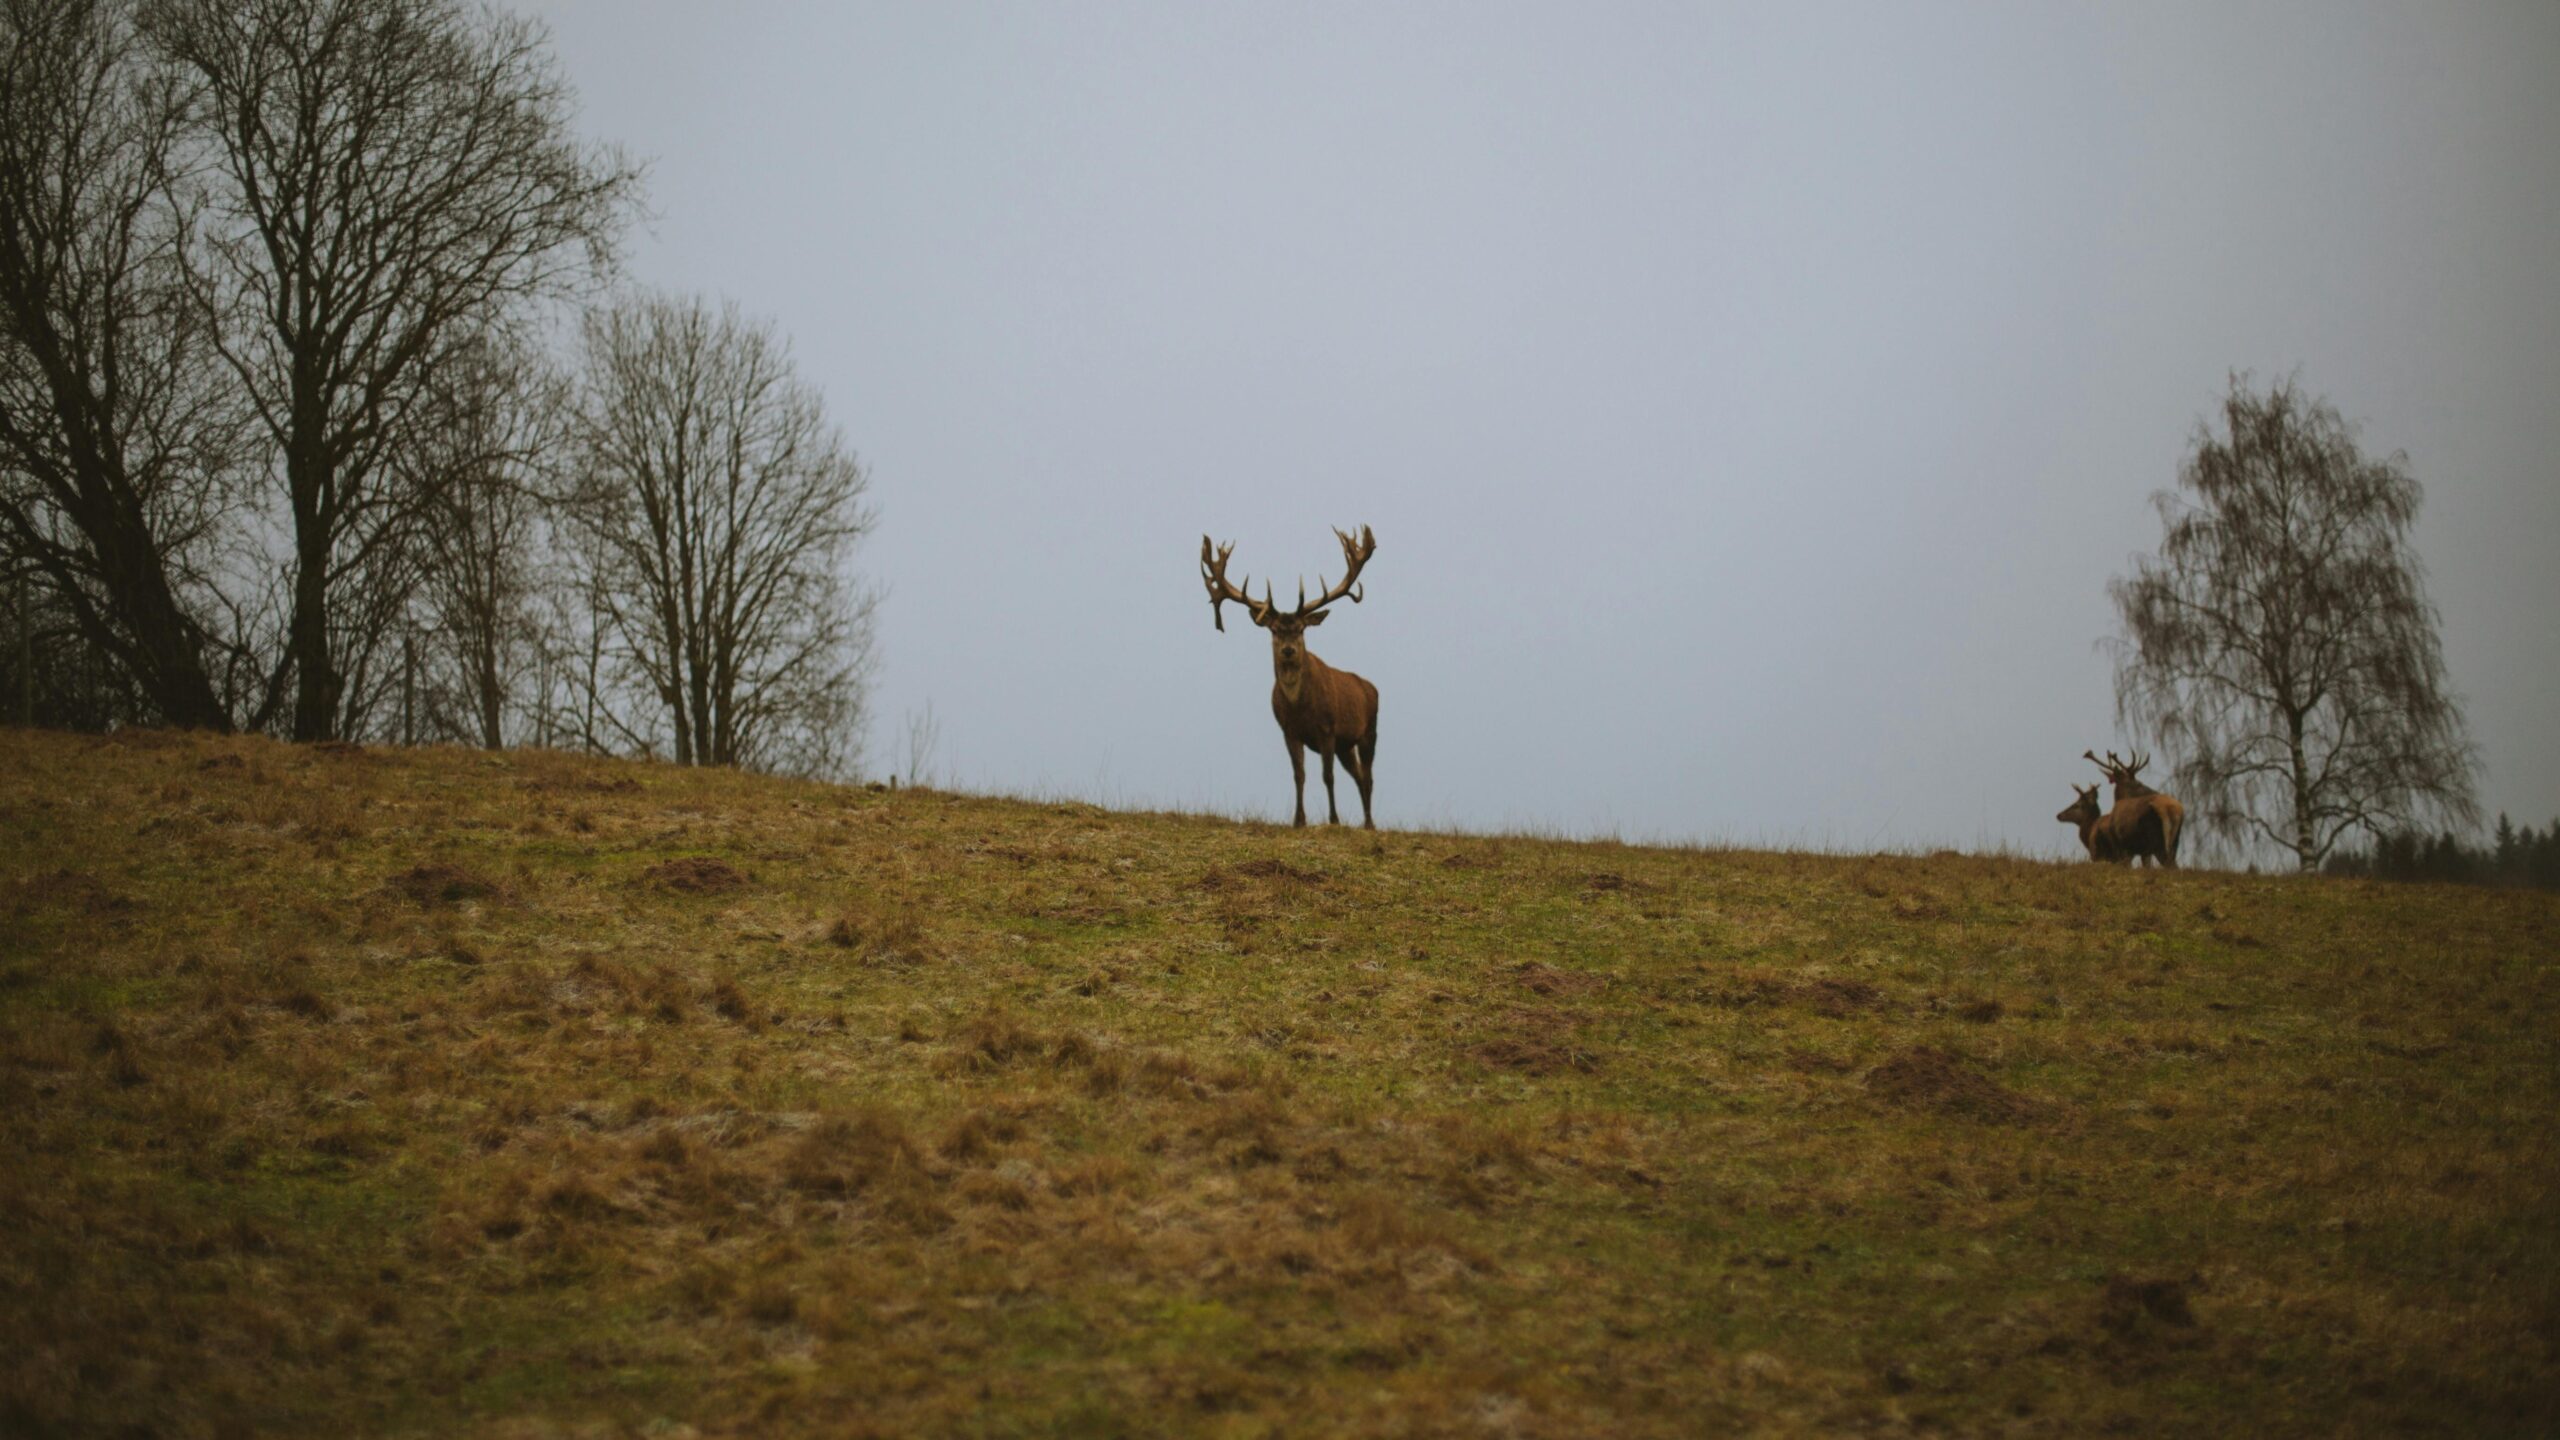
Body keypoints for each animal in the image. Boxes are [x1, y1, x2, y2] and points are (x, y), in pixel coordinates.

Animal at [1199, 525, 1380, 829]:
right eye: (1274, 629)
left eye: (1301, 628)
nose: (1288, 650)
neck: (1300, 706)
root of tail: (1371, 688)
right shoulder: (1289, 731)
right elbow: (1299, 775)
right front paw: (1299, 820)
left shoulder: (1328, 728)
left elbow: (1327, 777)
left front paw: (1333, 820)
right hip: (1346, 745)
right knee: (1357, 776)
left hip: (1369, 732)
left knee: (1368, 777)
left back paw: (1369, 824)